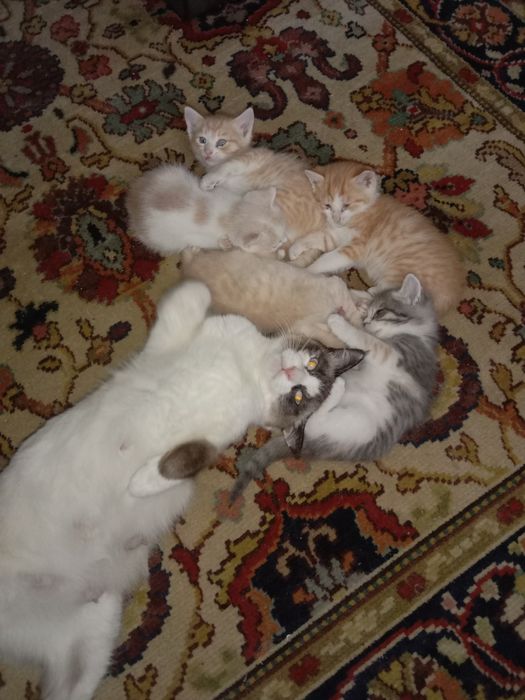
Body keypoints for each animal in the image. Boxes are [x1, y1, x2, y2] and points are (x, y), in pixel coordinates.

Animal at [0, 280, 360, 700]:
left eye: (301, 394)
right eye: (311, 368)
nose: (292, 373)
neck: (250, 367)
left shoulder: (211, 442)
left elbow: (179, 464)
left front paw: (137, 484)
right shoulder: (184, 332)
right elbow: (196, 290)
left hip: (96, 629)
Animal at [126, 163, 288, 257]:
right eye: (274, 245)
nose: (282, 242)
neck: (232, 213)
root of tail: (132, 202)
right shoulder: (202, 238)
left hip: (170, 172)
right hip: (163, 240)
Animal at [230, 273, 439, 502]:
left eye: (380, 312)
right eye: (369, 314)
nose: (366, 321)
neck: (416, 332)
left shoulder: (397, 355)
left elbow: (367, 340)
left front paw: (338, 322)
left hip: (355, 425)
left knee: (313, 421)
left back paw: (335, 388)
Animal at [288, 161, 465, 316]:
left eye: (346, 205)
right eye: (327, 206)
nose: (336, 219)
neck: (363, 211)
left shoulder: (355, 248)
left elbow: (327, 259)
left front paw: (305, 272)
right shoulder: (336, 235)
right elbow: (319, 237)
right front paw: (295, 249)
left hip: (402, 272)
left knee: (381, 295)